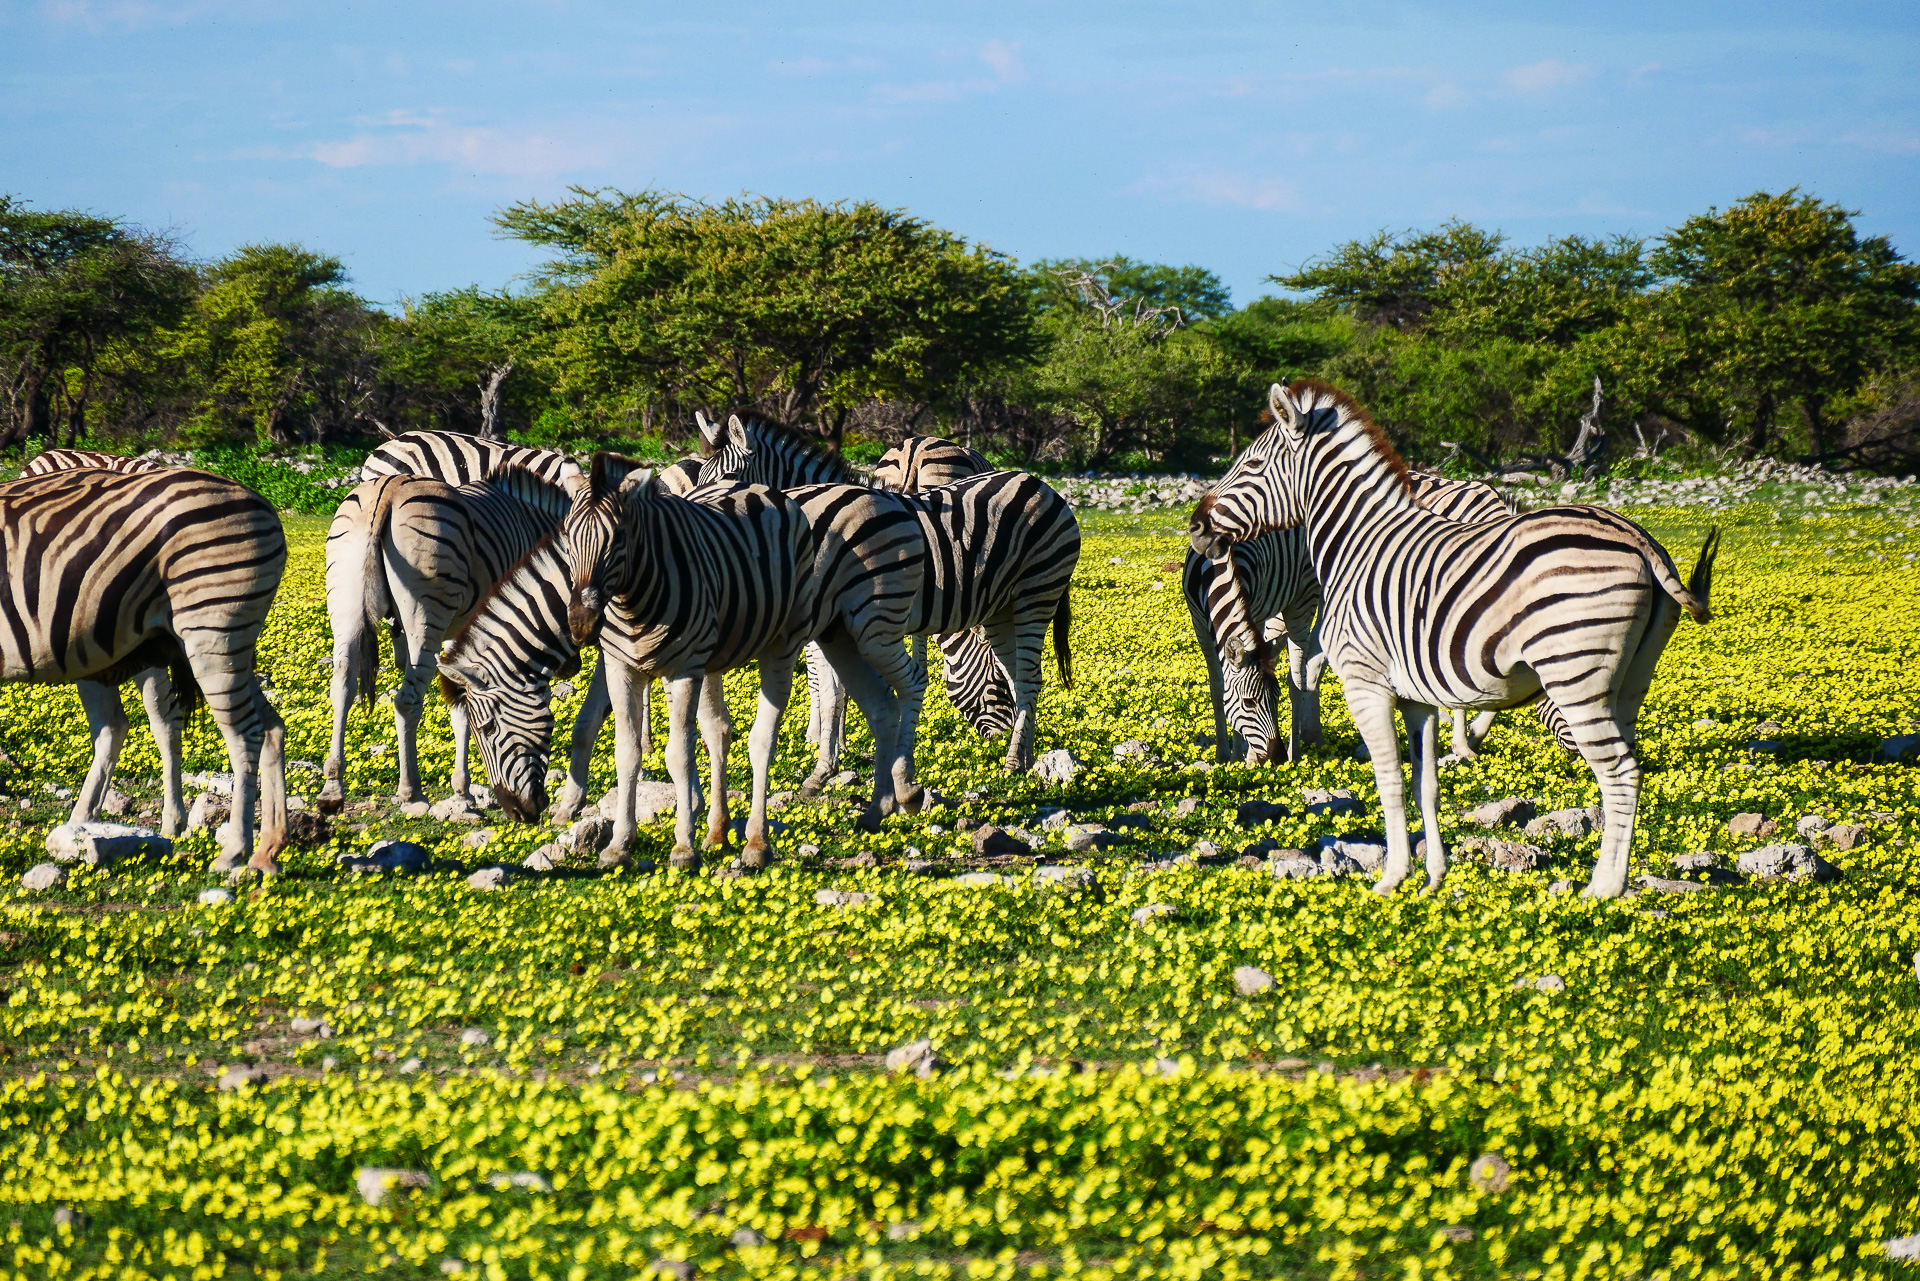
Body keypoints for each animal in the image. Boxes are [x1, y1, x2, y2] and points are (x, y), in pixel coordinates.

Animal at [1190, 380, 1720, 902]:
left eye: (1251, 465)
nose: (1196, 527)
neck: (1356, 543)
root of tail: (1638, 537)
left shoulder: (1366, 682)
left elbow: (1389, 780)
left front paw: (1391, 878)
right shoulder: (1415, 697)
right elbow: (1425, 784)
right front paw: (1433, 878)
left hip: (1575, 673)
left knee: (1619, 773)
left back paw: (1604, 889)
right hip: (1630, 680)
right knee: (1630, 767)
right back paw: (1615, 882)